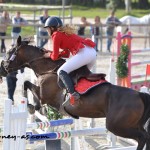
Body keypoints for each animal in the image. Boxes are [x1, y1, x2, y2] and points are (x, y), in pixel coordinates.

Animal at [0, 35, 150, 149]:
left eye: (9, 52)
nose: (2, 69)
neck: (47, 69)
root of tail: (140, 94)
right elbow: (27, 86)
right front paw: (33, 107)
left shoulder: (44, 95)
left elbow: (27, 86)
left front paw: (31, 107)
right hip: (130, 124)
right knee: (145, 135)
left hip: (116, 125)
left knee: (142, 137)